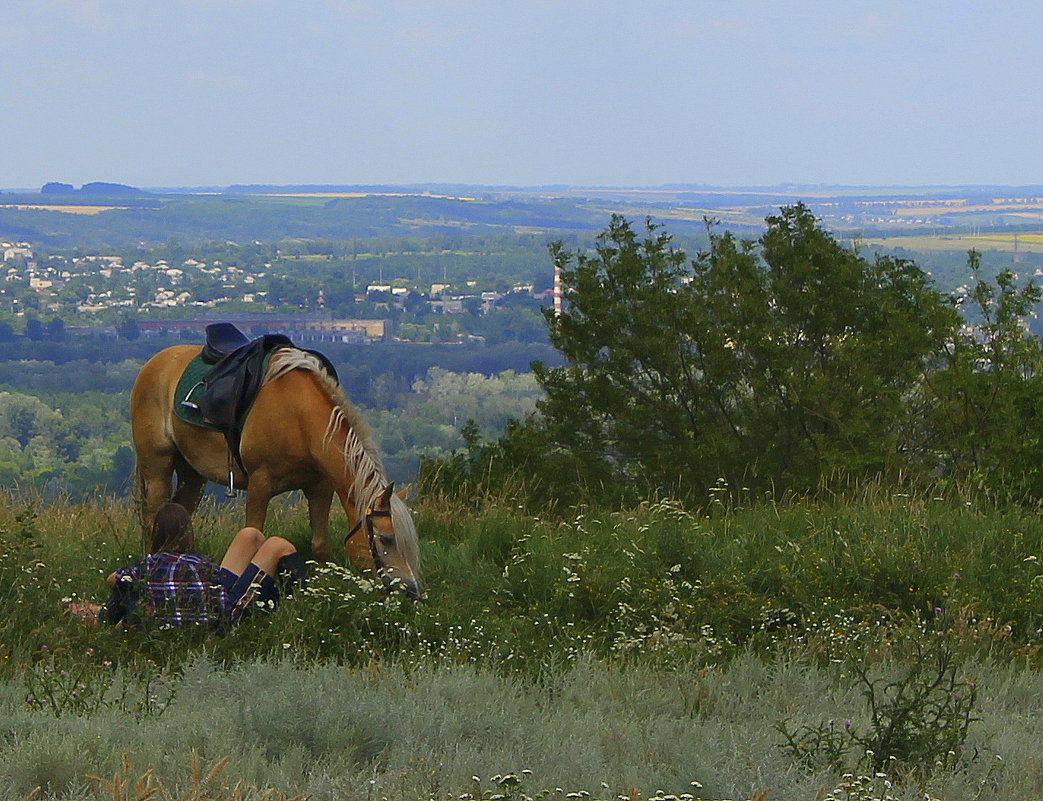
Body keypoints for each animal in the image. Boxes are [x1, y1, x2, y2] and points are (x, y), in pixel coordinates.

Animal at [130, 342, 423, 596]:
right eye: (386, 539)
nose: (411, 590)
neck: (298, 417)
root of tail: (156, 362)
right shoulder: (260, 485)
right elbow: (254, 533)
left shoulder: (320, 488)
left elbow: (320, 545)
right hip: (157, 465)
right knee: (152, 518)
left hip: (192, 474)